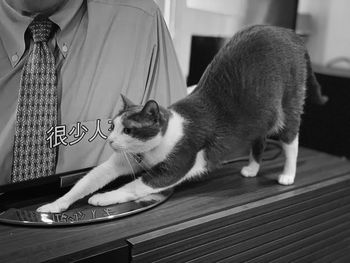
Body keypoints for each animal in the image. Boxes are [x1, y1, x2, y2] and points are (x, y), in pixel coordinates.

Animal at [37, 25, 326, 214]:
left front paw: (103, 198)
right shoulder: (122, 160)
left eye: (128, 130)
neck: (150, 152)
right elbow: (88, 179)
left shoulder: (177, 164)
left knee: (291, 141)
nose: (109, 140)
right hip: (259, 115)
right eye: (112, 126)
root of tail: (291, 34)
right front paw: (54, 205)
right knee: (260, 139)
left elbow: (135, 185)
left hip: (289, 105)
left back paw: (287, 175)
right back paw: (252, 169)